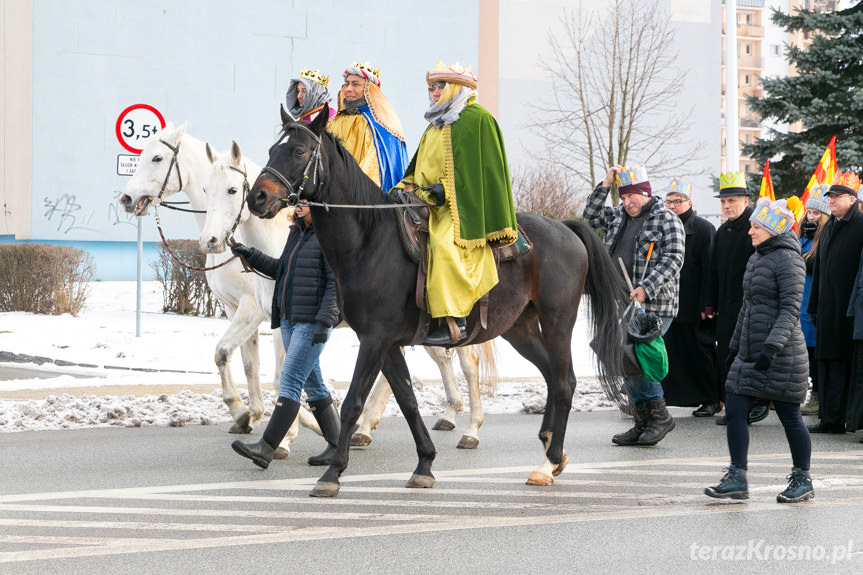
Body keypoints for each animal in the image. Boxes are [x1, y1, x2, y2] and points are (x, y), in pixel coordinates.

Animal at [201, 140, 500, 450]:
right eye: (205, 190)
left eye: (232, 190)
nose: (209, 241)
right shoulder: (251, 312)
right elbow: (249, 362)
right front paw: (261, 418)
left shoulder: (265, 315)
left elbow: (276, 373)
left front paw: (282, 435)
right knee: (433, 361)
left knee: (469, 363)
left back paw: (470, 429)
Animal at [246, 106, 624, 498]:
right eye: (273, 149)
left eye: (299, 151)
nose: (256, 197)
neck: (369, 239)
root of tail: (566, 228)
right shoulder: (387, 343)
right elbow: (408, 400)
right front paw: (424, 464)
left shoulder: (375, 339)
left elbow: (352, 403)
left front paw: (333, 472)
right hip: (520, 329)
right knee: (551, 375)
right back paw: (553, 448)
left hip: (557, 321)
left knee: (564, 383)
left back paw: (546, 464)